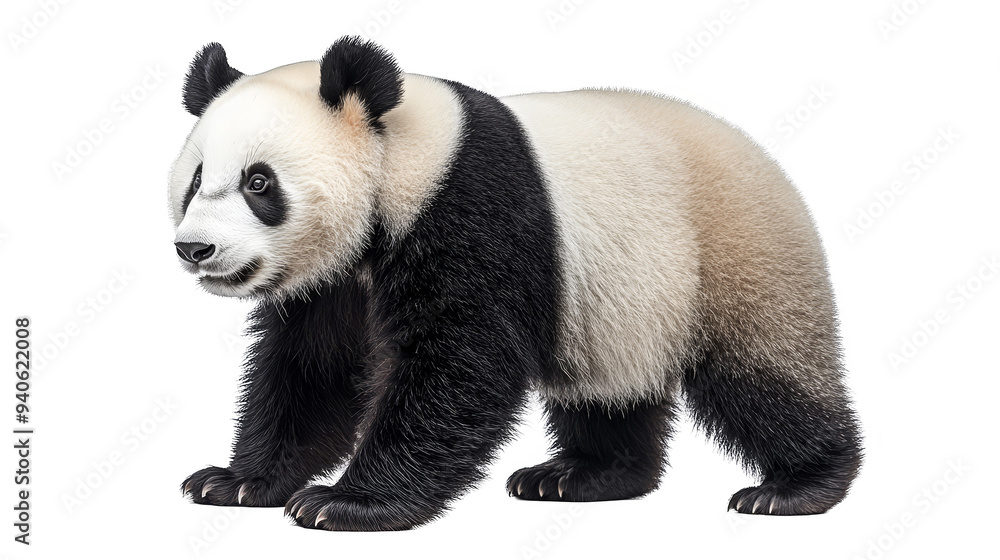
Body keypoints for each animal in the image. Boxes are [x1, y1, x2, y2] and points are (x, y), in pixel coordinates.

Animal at [171, 36, 862, 531]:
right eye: (196, 177)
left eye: (259, 182)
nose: (194, 248)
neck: (404, 159)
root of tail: (767, 160)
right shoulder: (336, 279)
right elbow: (313, 368)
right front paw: (238, 481)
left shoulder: (470, 208)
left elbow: (460, 364)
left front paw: (346, 503)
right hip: (623, 304)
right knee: (610, 389)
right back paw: (583, 476)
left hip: (733, 252)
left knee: (764, 377)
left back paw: (796, 487)